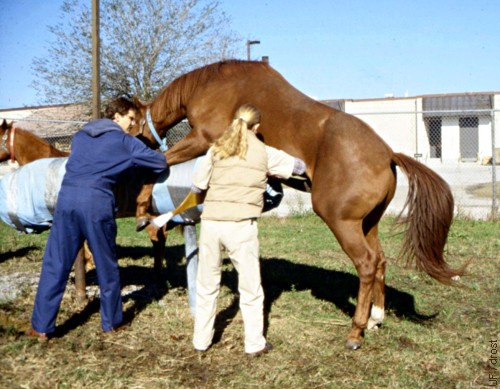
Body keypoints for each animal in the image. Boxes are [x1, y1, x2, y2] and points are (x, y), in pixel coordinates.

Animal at [130, 59, 464, 348]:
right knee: (380, 261)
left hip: (341, 222)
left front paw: (142, 210)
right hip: (368, 223)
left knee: (367, 264)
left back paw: (355, 331)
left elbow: (161, 163)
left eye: (132, 124)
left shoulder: (201, 139)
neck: (211, 84)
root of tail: (388, 154)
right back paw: (375, 319)